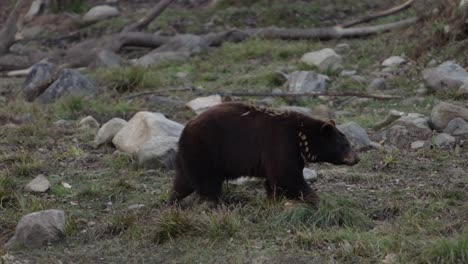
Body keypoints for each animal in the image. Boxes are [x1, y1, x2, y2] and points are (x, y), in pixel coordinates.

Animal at [170, 102, 360, 205]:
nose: (357, 158)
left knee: (183, 182)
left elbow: (274, 180)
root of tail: (185, 129)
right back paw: (216, 203)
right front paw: (315, 198)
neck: (300, 139)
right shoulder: (281, 144)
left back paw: (173, 201)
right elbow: (287, 176)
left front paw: (274, 199)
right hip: (206, 151)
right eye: (345, 144)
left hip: (189, 156)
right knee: (207, 184)